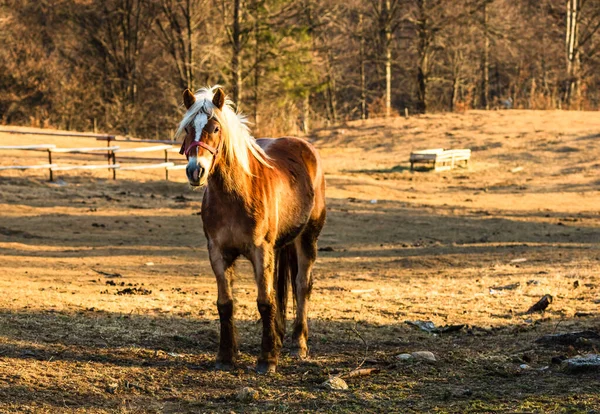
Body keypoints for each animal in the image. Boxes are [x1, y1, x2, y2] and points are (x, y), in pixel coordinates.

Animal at [177, 85, 328, 374]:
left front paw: (267, 359)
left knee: (301, 285)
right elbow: (226, 304)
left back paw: (298, 345)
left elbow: (265, 302)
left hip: (308, 238)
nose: (195, 171)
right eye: (189, 128)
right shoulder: (218, 253)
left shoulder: (261, 251)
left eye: (215, 128)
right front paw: (226, 356)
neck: (236, 194)